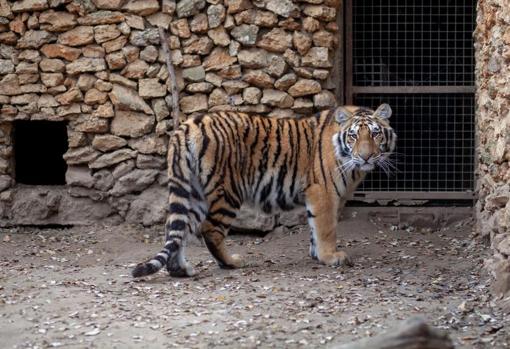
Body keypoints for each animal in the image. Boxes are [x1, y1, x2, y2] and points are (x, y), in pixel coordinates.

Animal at [131, 103, 394, 278]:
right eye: (353, 136)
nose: (366, 156)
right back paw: (232, 262)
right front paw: (331, 257)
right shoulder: (324, 193)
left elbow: (314, 227)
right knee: (210, 230)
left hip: (190, 190)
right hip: (227, 192)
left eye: (375, 133)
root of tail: (187, 126)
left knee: (176, 229)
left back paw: (181, 270)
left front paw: (316, 254)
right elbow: (326, 228)